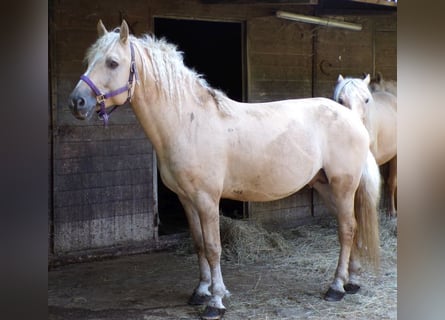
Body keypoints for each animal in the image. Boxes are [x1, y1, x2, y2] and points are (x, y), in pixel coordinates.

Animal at [67, 21, 380, 318]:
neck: (188, 123)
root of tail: (351, 117)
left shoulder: (207, 199)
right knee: (351, 226)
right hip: (324, 185)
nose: (76, 102)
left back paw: (336, 287)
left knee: (346, 229)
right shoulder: (186, 199)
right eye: (89, 59)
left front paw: (216, 302)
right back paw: (352, 281)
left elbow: (214, 247)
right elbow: (198, 244)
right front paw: (201, 291)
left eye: (112, 62)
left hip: (343, 185)